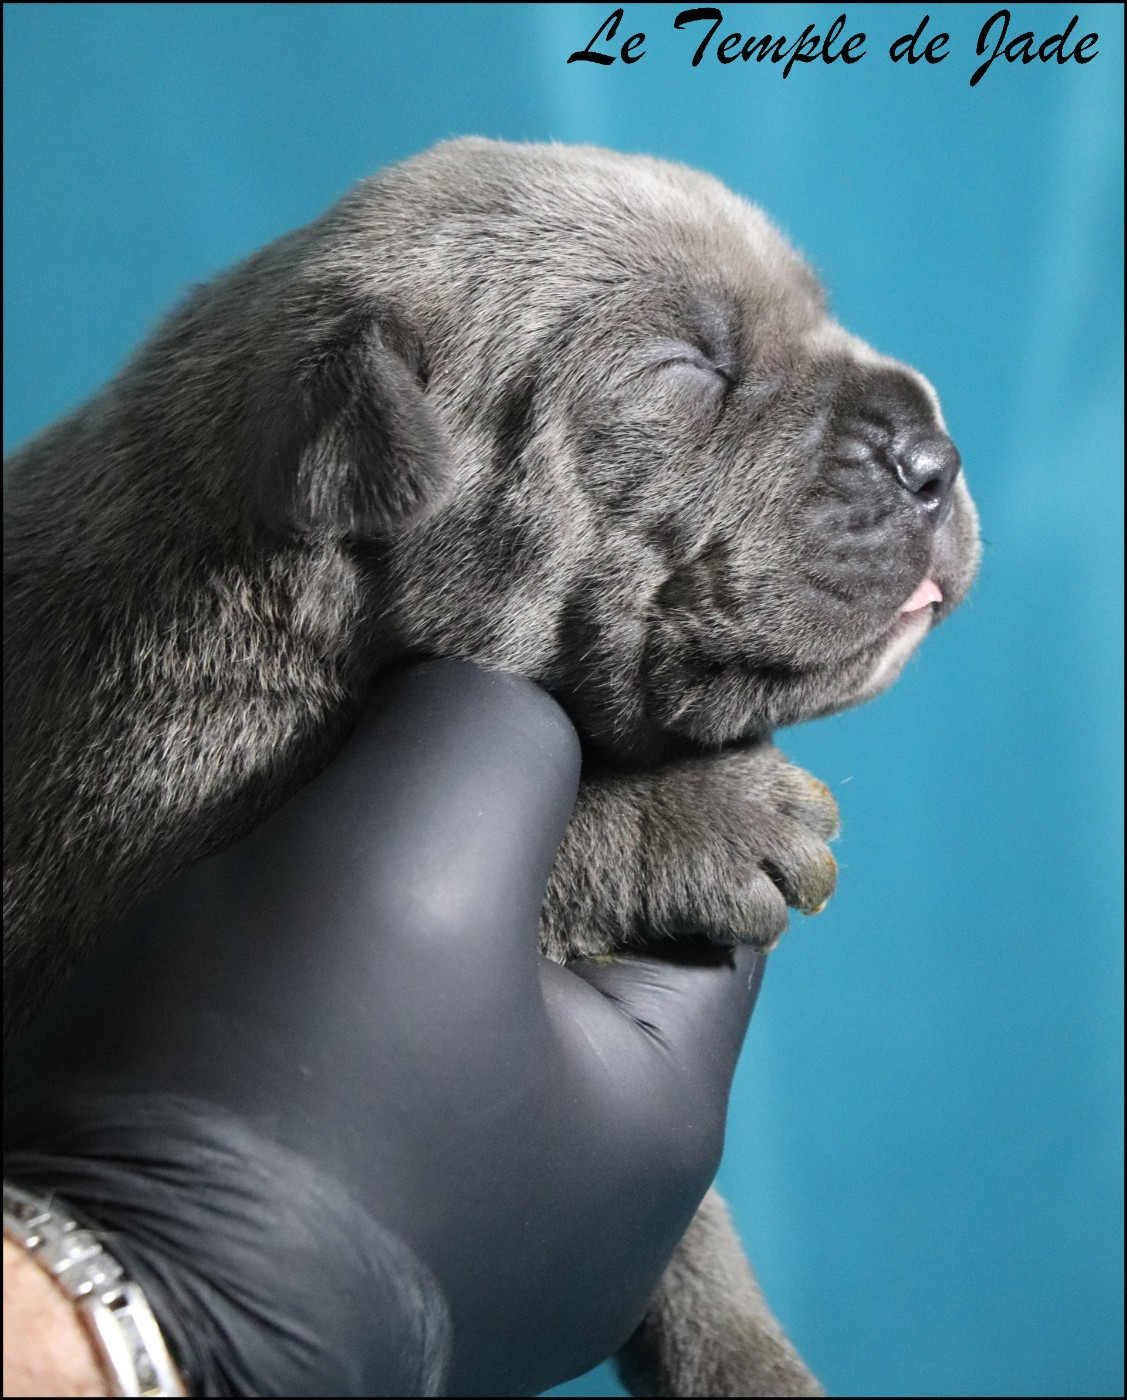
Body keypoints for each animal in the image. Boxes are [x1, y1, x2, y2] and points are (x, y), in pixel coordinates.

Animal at [4, 138, 980, 1395]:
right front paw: (700, 812)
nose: (932, 457)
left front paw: (749, 1361)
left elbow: (692, 1249)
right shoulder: (126, 828)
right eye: (682, 368)